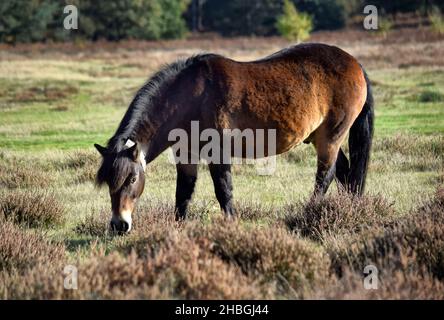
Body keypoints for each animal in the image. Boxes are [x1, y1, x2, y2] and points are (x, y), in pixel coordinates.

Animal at [95, 43, 372, 232]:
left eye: (132, 178)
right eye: (108, 181)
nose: (119, 224)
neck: (192, 97)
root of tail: (355, 63)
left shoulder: (217, 152)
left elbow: (223, 190)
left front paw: (230, 225)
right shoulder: (185, 154)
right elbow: (183, 193)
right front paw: (178, 228)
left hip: (331, 138)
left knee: (325, 176)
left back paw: (309, 211)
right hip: (321, 138)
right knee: (345, 173)